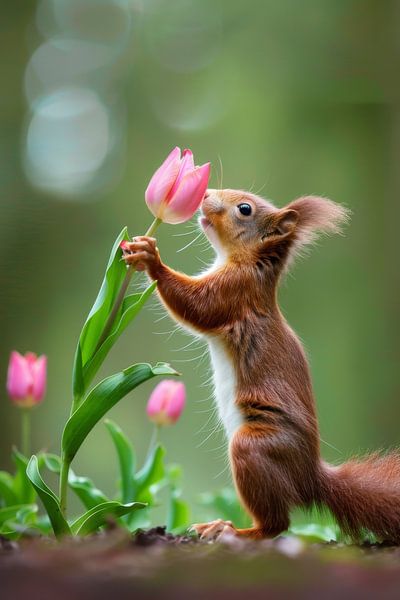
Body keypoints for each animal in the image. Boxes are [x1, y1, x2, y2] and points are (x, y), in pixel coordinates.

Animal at [122, 191, 400, 544]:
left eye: (245, 209)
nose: (206, 194)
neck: (248, 263)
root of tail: (310, 479)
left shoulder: (235, 291)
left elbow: (198, 305)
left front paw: (151, 259)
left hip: (254, 449)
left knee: (277, 525)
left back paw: (234, 531)